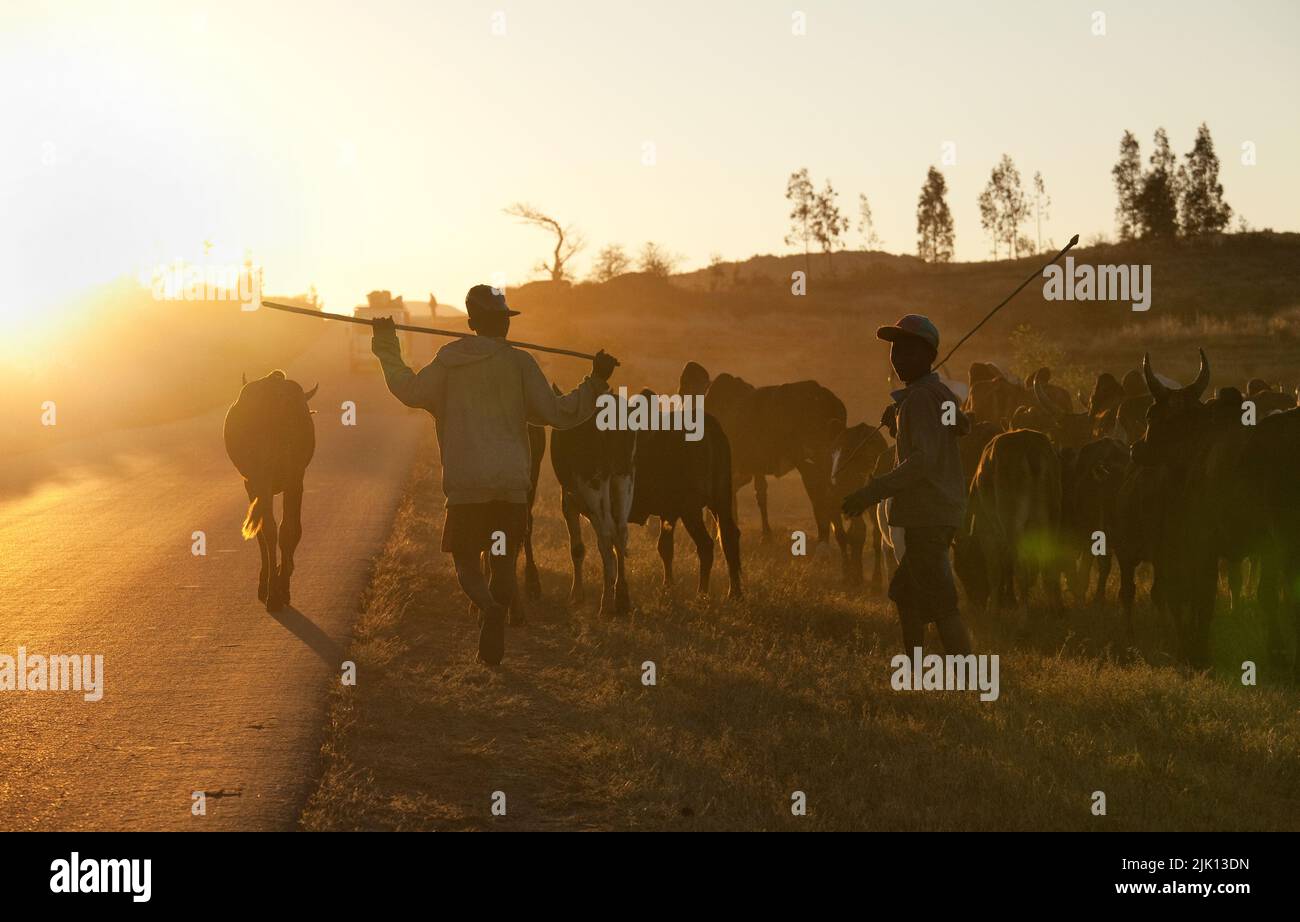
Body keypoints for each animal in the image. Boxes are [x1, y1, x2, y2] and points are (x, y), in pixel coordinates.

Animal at [222, 366, 315, 611]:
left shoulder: (254, 484)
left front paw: (269, 582)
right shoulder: (294, 480)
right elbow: (288, 529)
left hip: (263, 481)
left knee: (274, 530)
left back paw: (273, 591)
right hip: (283, 479)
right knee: (284, 529)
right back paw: (278, 589)